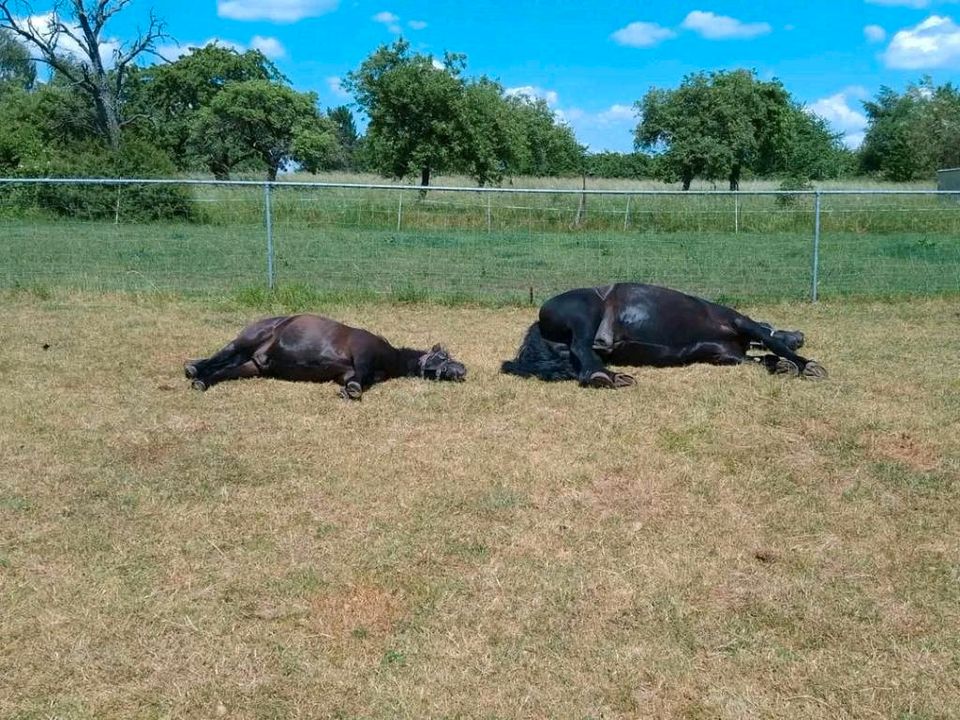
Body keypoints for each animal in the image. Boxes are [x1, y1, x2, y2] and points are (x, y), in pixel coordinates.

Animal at [186, 314, 466, 400]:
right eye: (443, 355)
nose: (463, 370)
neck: (389, 356)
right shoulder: (362, 352)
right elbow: (359, 378)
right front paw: (352, 391)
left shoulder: (350, 372)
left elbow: (356, 379)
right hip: (244, 343)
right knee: (218, 358)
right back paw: (193, 368)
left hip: (251, 365)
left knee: (224, 371)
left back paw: (200, 380)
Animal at [502, 284, 824, 390]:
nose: (801, 335)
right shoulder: (740, 321)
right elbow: (772, 341)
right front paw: (806, 364)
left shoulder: (726, 355)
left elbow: (761, 357)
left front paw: (781, 365)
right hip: (585, 311)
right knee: (583, 348)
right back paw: (605, 376)